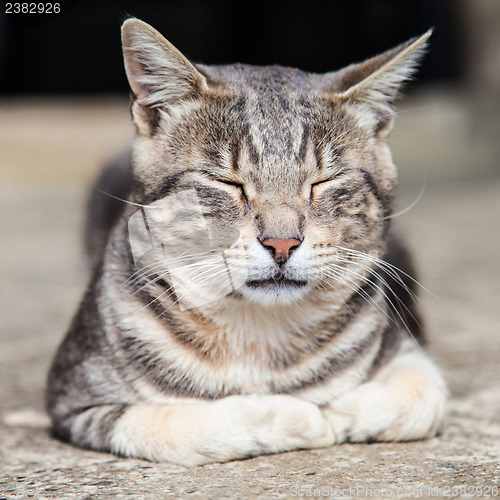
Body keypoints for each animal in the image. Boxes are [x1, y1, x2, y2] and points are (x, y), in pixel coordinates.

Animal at [46, 18, 446, 464]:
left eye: (323, 181)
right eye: (227, 182)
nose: (282, 243)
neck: (256, 330)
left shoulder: (407, 349)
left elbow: (423, 396)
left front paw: (336, 411)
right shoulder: (74, 397)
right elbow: (171, 423)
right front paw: (297, 417)